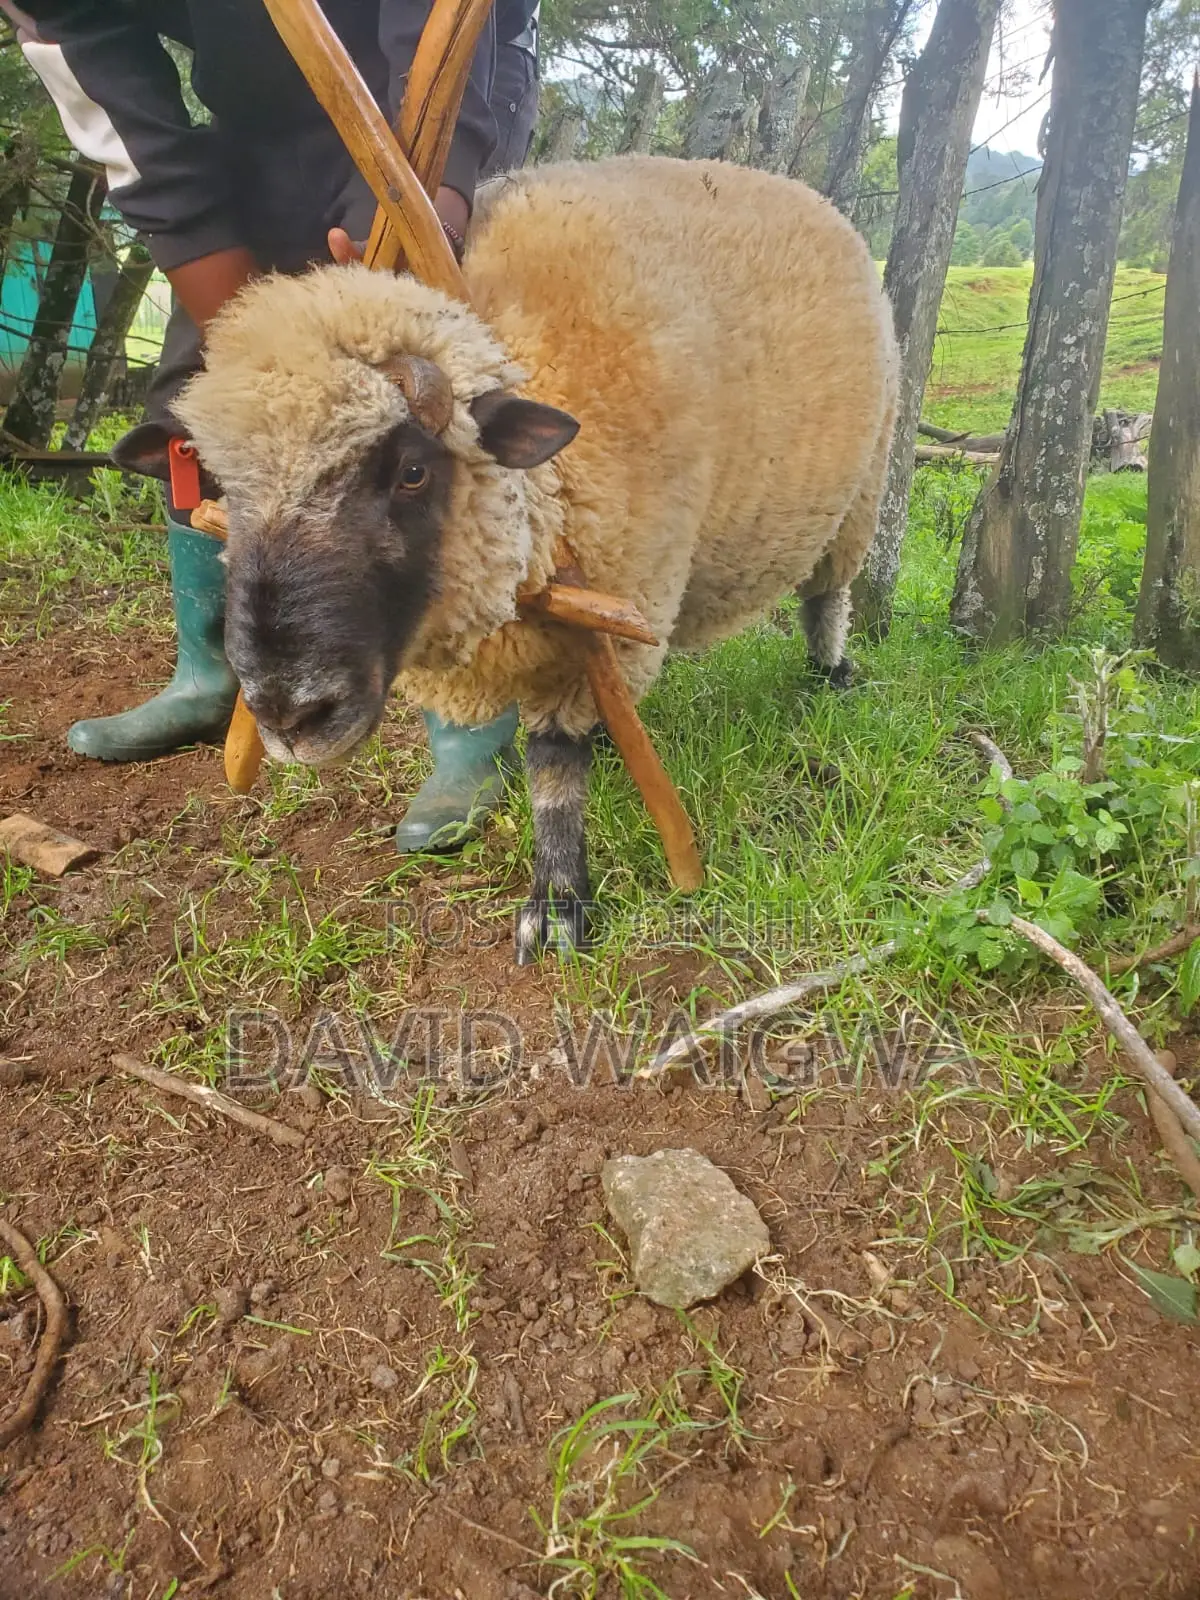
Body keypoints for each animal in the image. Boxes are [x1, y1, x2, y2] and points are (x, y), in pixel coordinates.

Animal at [116, 154, 898, 963]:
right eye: (220, 486)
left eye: (412, 472)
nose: (289, 715)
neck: (545, 487)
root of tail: (807, 197)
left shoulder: (611, 602)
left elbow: (554, 762)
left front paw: (556, 906)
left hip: (863, 486)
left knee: (827, 596)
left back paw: (832, 674)